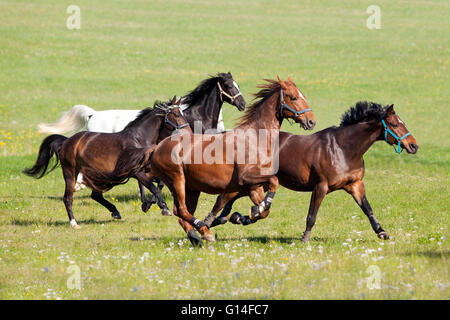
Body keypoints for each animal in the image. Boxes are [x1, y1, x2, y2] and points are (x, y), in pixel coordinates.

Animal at [23, 99, 188, 229]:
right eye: (176, 114)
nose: (186, 130)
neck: (138, 139)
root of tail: (67, 141)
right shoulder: (137, 172)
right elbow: (154, 188)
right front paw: (164, 208)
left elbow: (157, 185)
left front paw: (147, 205)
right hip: (70, 173)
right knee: (67, 198)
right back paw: (74, 223)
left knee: (95, 196)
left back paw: (115, 211)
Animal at [148, 77, 316, 245]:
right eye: (293, 97)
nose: (311, 121)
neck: (256, 137)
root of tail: (157, 147)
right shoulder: (245, 178)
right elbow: (274, 181)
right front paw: (253, 210)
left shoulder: (254, 187)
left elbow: (265, 212)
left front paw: (245, 215)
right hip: (177, 180)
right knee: (180, 210)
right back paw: (204, 229)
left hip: (192, 188)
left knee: (183, 215)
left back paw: (197, 236)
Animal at [209, 102, 420, 240]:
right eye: (394, 124)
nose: (413, 146)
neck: (344, 149)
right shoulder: (321, 186)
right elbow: (312, 215)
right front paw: (304, 238)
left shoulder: (355, 185)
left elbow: (367, 208)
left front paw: (382, 232)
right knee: (223, 200)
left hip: (255, 185)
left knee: (231, 204)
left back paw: (231, 218)